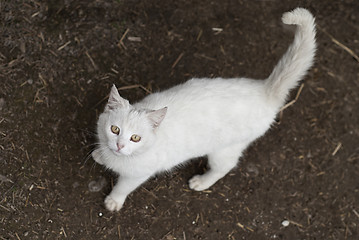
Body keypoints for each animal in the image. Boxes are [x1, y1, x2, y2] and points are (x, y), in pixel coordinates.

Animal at [93, 8, 318, 212]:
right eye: (114, 129)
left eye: (135, 138)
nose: (120, 145)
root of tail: (264, 90)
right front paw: (100, 154)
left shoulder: (138, 174)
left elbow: (124, 186)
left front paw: (114, 200)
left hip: (224, 150)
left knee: (225, 167)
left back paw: (202, 182)